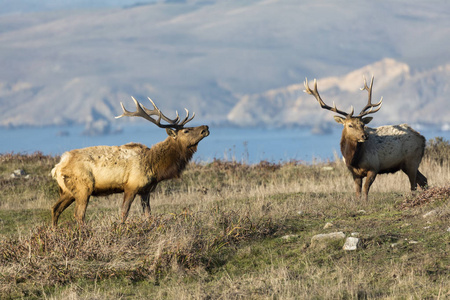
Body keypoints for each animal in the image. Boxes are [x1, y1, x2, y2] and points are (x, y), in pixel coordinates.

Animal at [51, 97, 210, 226]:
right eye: (186, 131)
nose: (206, 127)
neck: (156, 167)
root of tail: (57, 167)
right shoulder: (131, 186)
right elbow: (124, 213)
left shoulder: (146, 190)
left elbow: (148, 214)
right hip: (83, 187)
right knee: (78, 215)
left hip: (67, 191)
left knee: (55, 208)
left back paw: (54, 231)